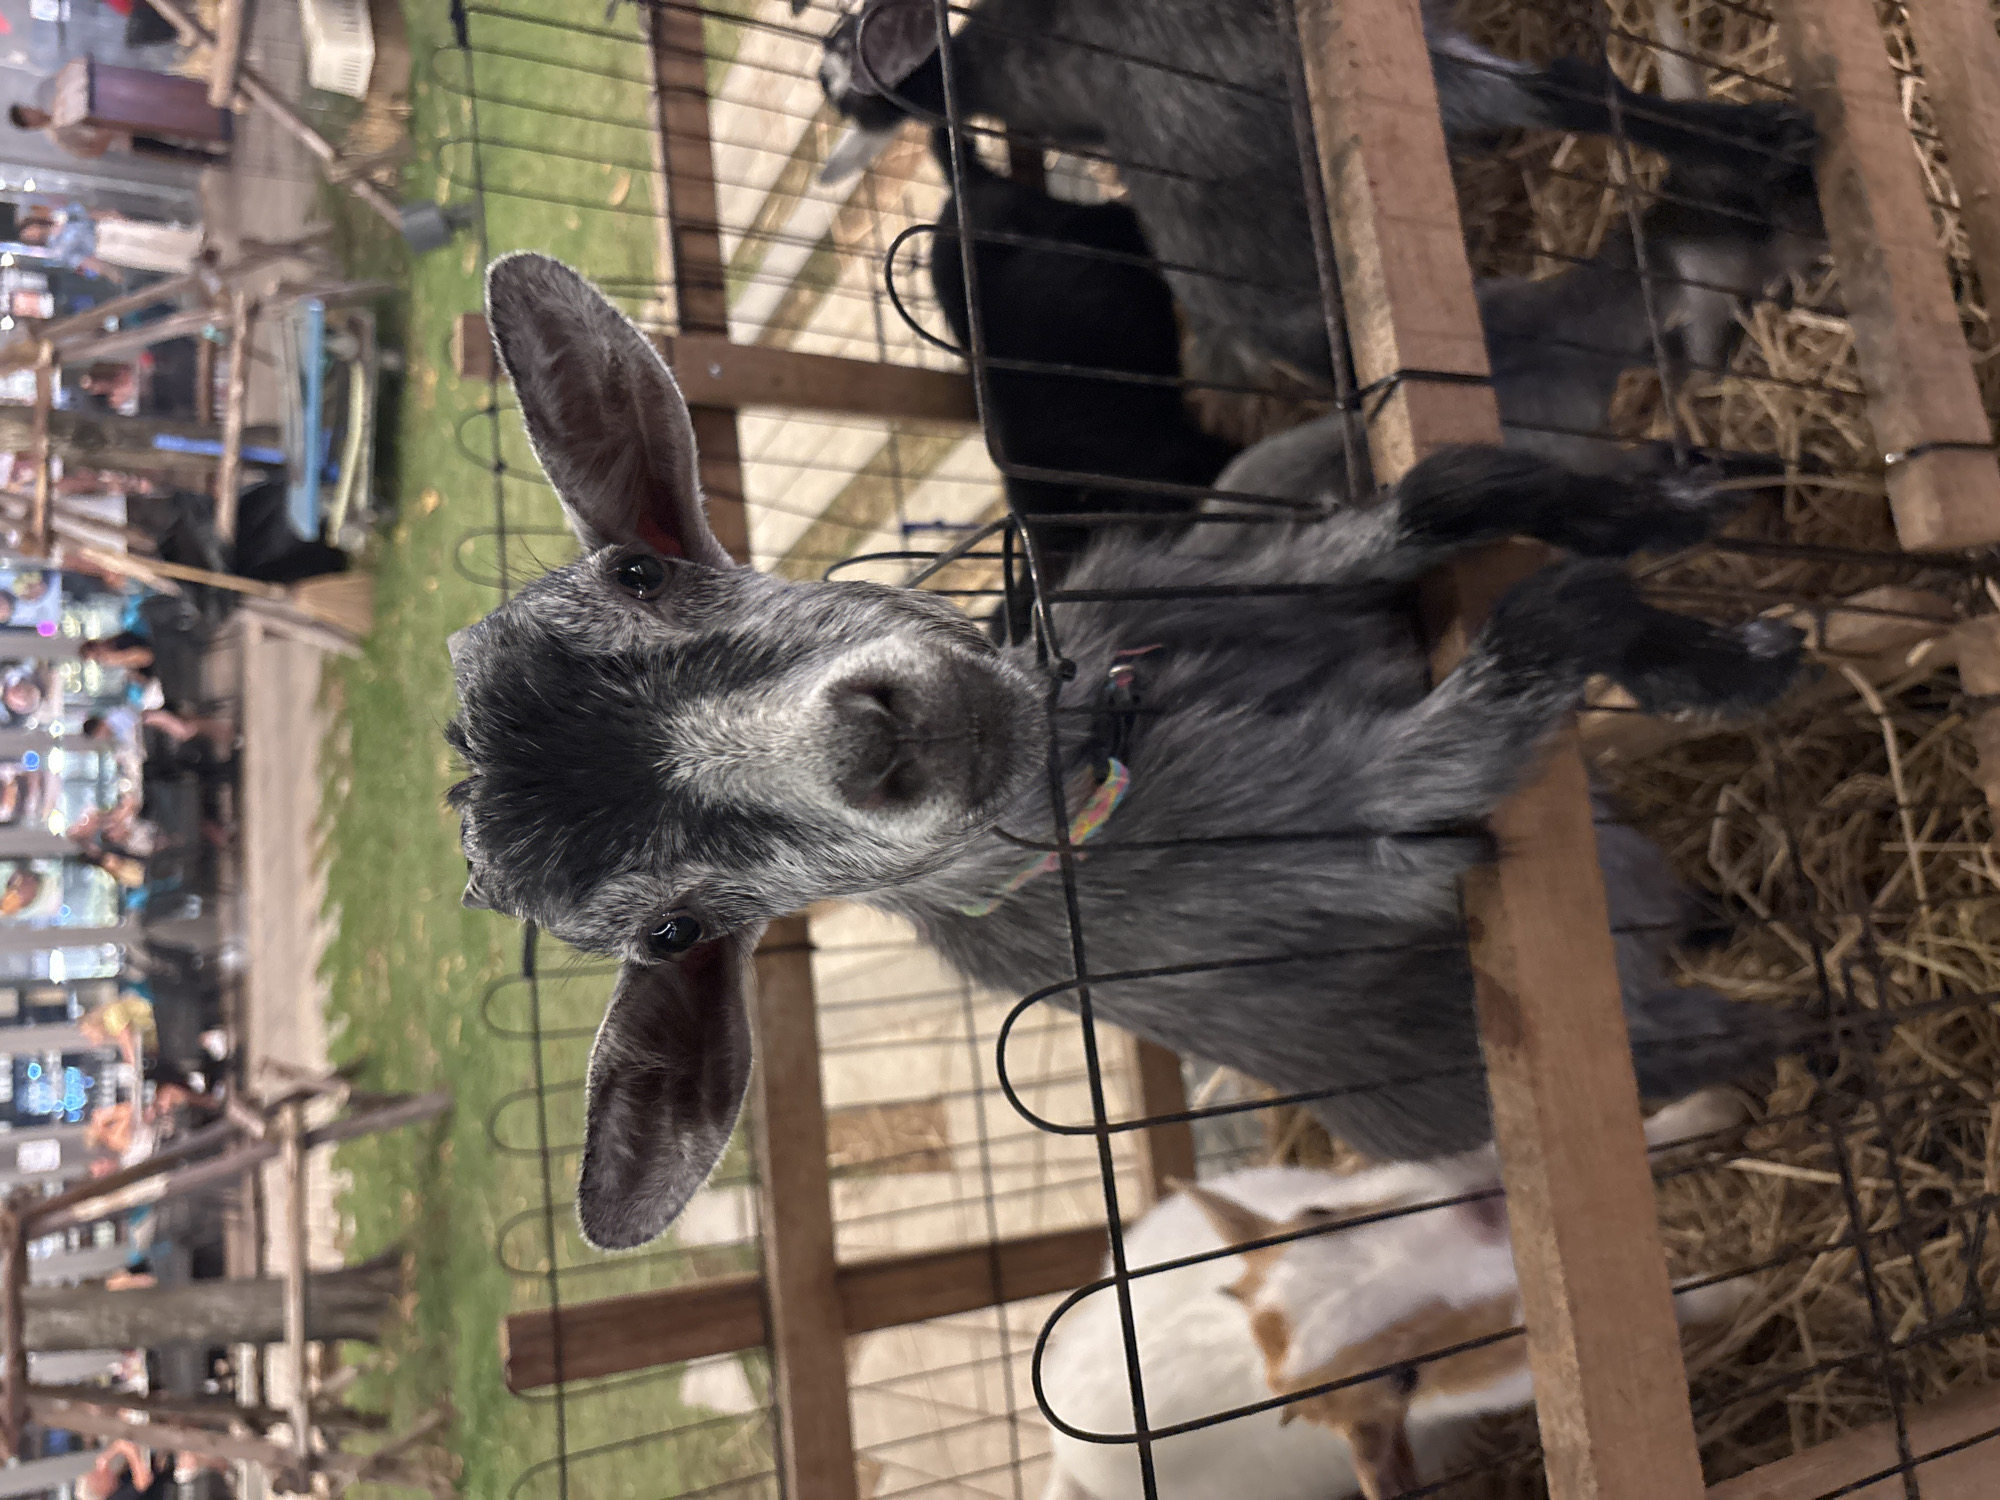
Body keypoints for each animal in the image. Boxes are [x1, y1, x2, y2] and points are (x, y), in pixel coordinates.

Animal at [446, 255, 1808, 1249]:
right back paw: (1818, 1029)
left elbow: (1450, 495)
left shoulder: (1280, 572)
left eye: (644, 573)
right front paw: (1728, 660)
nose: (876, 738)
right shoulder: (1353, 832)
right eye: (672, 929)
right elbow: (1545, 625)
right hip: (1628, 1034)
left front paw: (1671, 505)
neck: (1104, 737)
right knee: (1729, 1037)